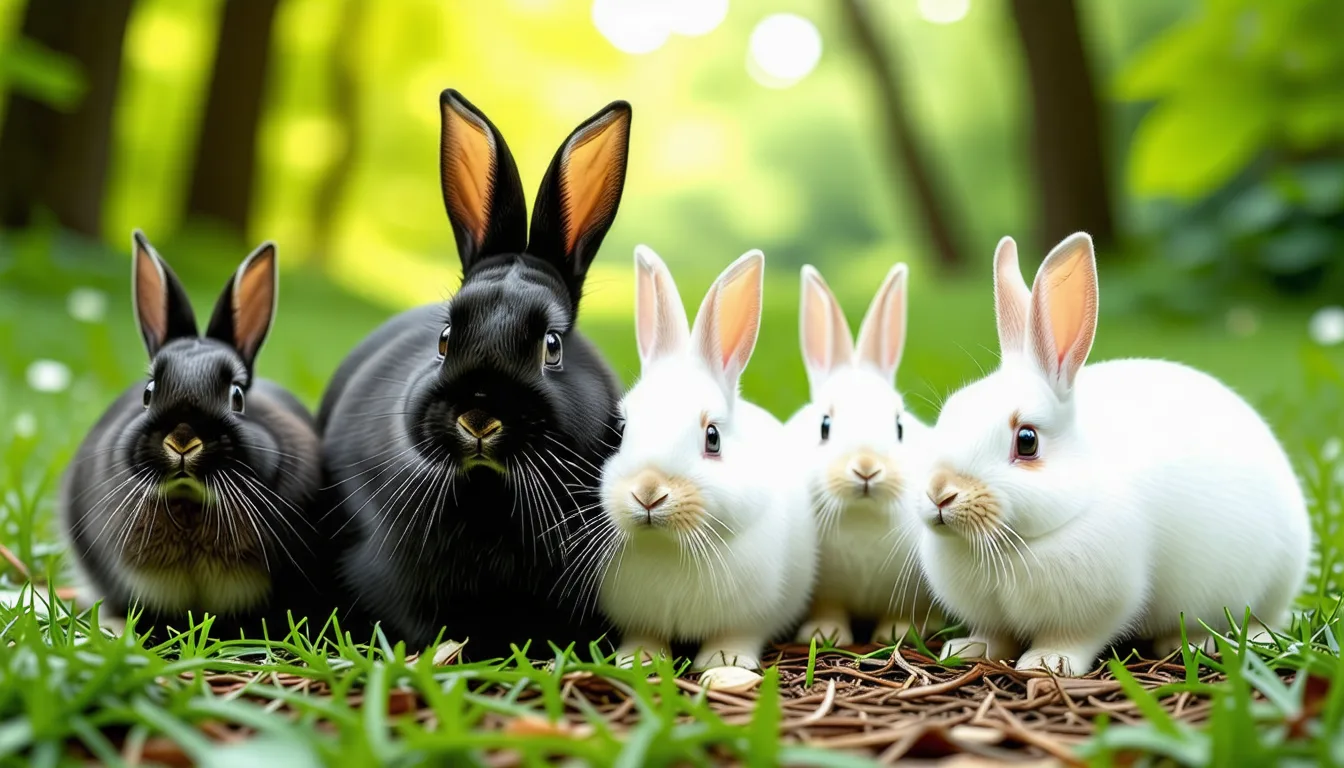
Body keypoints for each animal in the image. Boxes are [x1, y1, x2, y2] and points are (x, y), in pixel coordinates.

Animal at [579, 245, 817, 677]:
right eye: (620, 430)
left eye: (713, 438)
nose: (648, 492)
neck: (670, 548)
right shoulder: (639, 618)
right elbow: (645, 636)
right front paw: (637, 659)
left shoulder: (751, 617)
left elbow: (736, 636)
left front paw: (725, 661)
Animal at [785, 263, 942, 648]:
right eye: (824, 426)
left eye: (899, 426)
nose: (867, 468)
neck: (862, 514)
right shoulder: (826, 591)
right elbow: (829, 609)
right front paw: (824, 634)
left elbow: (901, 612)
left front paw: (899, 633)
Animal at [915, 232, 1311, 676]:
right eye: (948, 413)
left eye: (1027, 441)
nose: (940, 493)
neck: (1011, 545)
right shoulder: (992, 617)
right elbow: (994, 635)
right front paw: (969, 649)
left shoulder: (1098, 608)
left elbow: (1074, 637)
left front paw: (1048, 662)